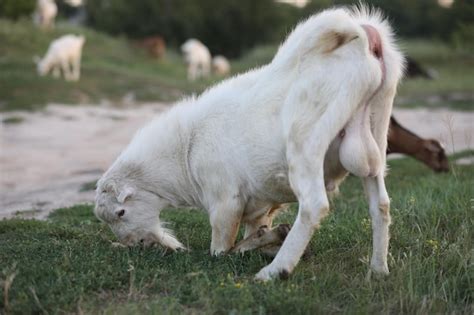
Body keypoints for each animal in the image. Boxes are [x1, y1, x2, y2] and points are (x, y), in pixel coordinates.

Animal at [95, 5, 404, 282]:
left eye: (121, 211)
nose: (138, 245)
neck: (186, 148)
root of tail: (364, 36)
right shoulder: (259, 205)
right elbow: (253, 233)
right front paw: (269, 241)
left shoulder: (225, 201)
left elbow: (222, 251)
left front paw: (271, 243)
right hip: (376, 133)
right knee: (380, 205)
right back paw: (378, 269)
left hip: (306, 143)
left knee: (314, 206)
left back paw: (275, 272)